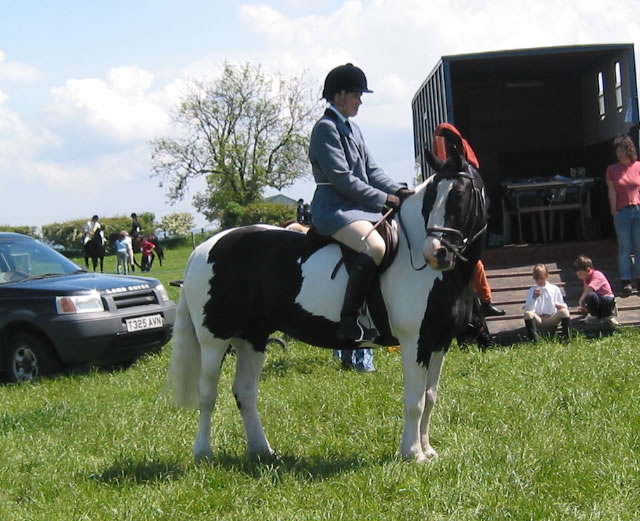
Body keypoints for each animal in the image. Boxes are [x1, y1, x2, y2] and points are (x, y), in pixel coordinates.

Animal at [169, 148, 484, 462]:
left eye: (460, 194)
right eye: (432, 198)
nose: (437, 253)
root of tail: (203, 248)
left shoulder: (438, 343)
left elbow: (430, 397)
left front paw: (428, 450)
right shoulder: (414, 341)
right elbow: (415, 400)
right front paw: (413, 454)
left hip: (252, 338)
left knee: (245, 392)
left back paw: (262, 451)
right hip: (214, 339)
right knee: (208, 394)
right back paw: (204, 453)